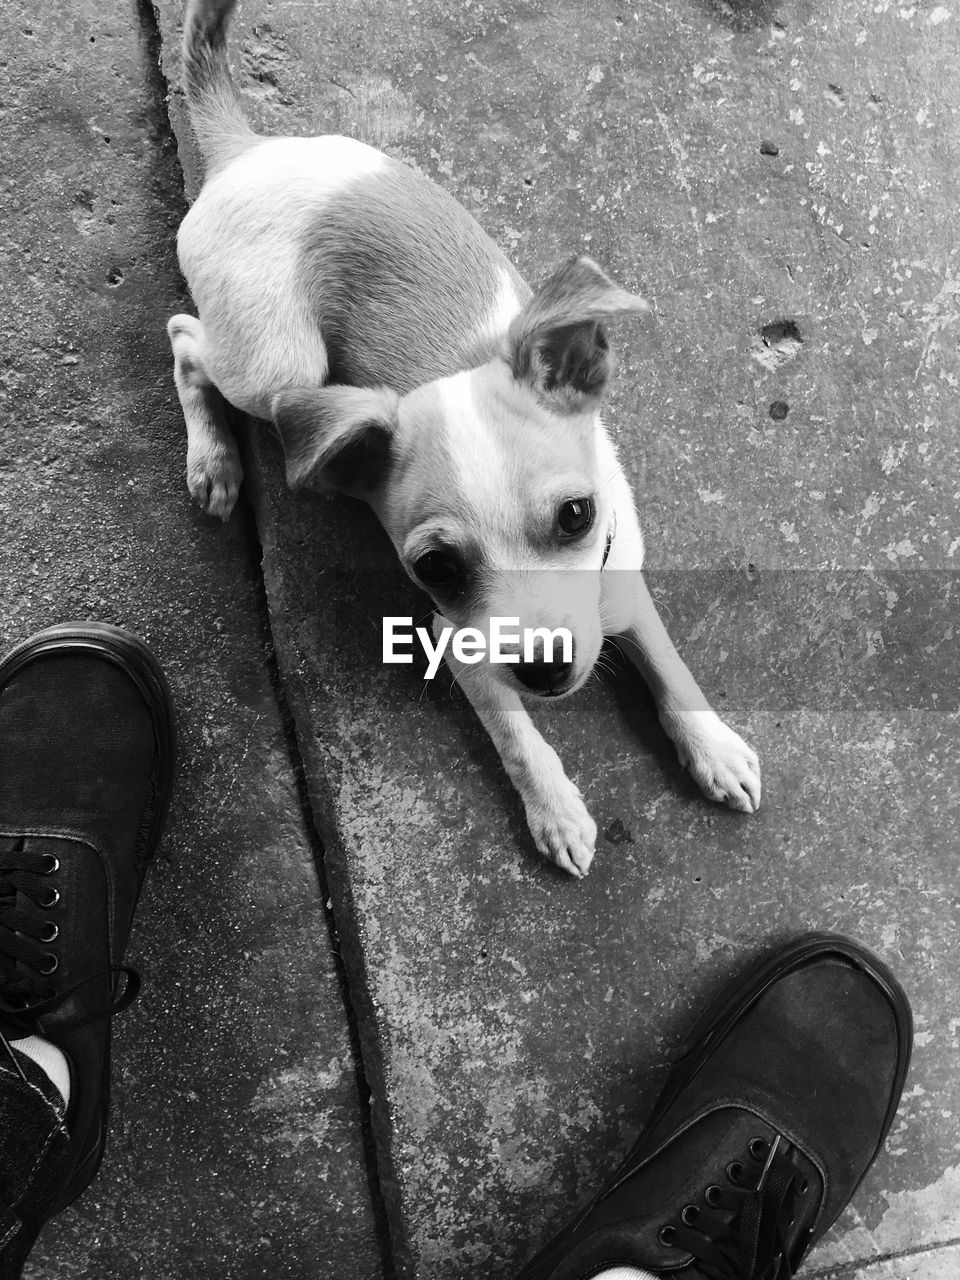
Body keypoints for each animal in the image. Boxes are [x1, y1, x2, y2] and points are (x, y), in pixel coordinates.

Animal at [168, 0, 762, 875]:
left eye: (578, 518)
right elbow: (516, 735)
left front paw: (710, 743)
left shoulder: (620, 577)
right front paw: (554, 806)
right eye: (437, 569)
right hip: (278, 363)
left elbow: (667, 663)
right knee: (184, 339)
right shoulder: (464, 644)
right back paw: (212, 459)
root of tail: (245, 148)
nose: (545, 669)